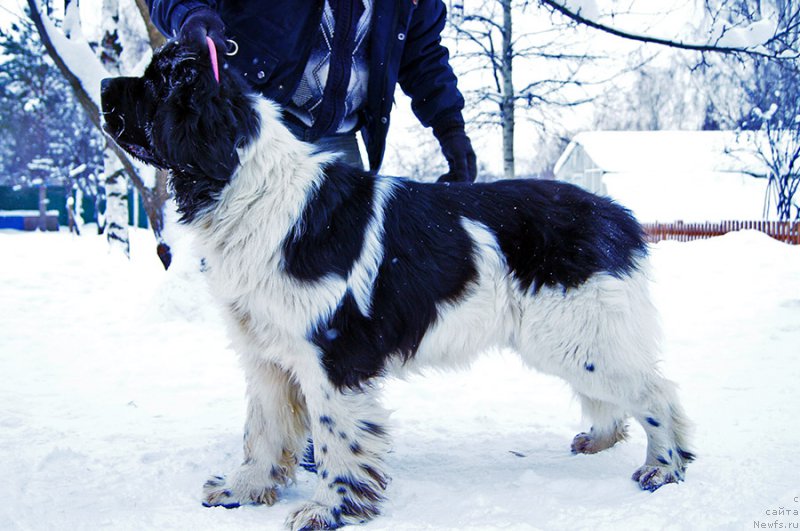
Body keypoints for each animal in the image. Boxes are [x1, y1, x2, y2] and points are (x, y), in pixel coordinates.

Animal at [101, 41, 692, 531]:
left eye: (155, 83)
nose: (105, 86)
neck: (252, 192)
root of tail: (618, 215)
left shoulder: (332, 355)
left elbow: (336, 437)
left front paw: (329, 509)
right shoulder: (267, 352)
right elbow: (264, 429)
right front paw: (244, 490)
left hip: (578, 335)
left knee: (656, 392)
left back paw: (662, 469)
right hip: (571, 339)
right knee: (615, 396)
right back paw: (600, 440)